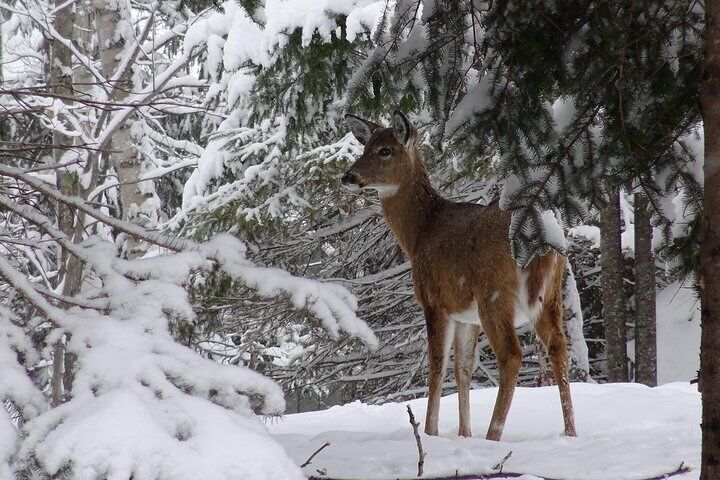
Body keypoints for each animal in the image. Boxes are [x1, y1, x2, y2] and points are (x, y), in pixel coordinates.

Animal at [340, 110, 576, 440]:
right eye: (364, 147)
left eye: (385, 150)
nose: (348, 177)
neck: (419, 233)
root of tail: (542, 237)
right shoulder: (466, 314)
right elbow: (462, 368)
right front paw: (465, 434)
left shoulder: (434, 301)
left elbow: (437, 367)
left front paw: (430, 432)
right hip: (550, 292)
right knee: (557, 344)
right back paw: (570, 432)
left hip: (494, 292)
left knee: (511, 355)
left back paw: (493, 436)